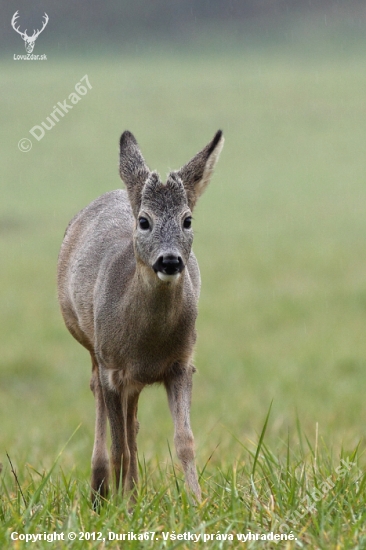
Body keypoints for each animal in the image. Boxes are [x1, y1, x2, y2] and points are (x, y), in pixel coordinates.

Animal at [57, 128, 223, 504]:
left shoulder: (182, 364)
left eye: (187, 220)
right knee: (100, 399)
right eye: (144, 221)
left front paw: (197, 502)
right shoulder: (112, 367)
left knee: (132, 422)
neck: (147, 343)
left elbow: (184, 441)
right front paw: (124, 507)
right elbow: (119, 445)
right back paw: (101, 489)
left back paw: (128, 488)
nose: (170, 260)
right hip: (92, 345)